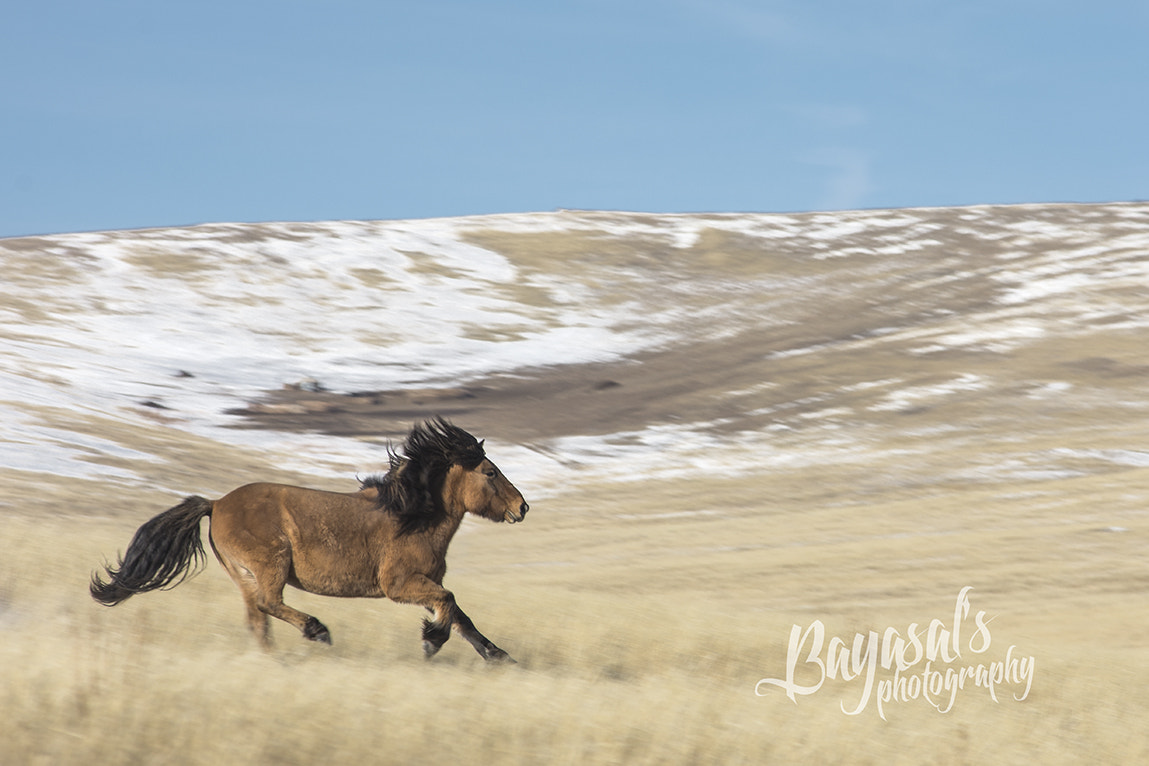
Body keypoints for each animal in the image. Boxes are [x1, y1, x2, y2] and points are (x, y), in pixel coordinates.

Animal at [90, 418, 529, 662]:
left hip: (243, 574)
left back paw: (276, 660)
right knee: (270, 604)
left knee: (258, 619)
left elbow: (461, 615)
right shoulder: (400, 584)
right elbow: (450, 605)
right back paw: (318, 631)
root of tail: (216, 503)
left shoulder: (423, 583)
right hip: (270, 563)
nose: (522, 507)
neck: (413, 517)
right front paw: (431, 642)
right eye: (490, 472)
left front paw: (499, 656)